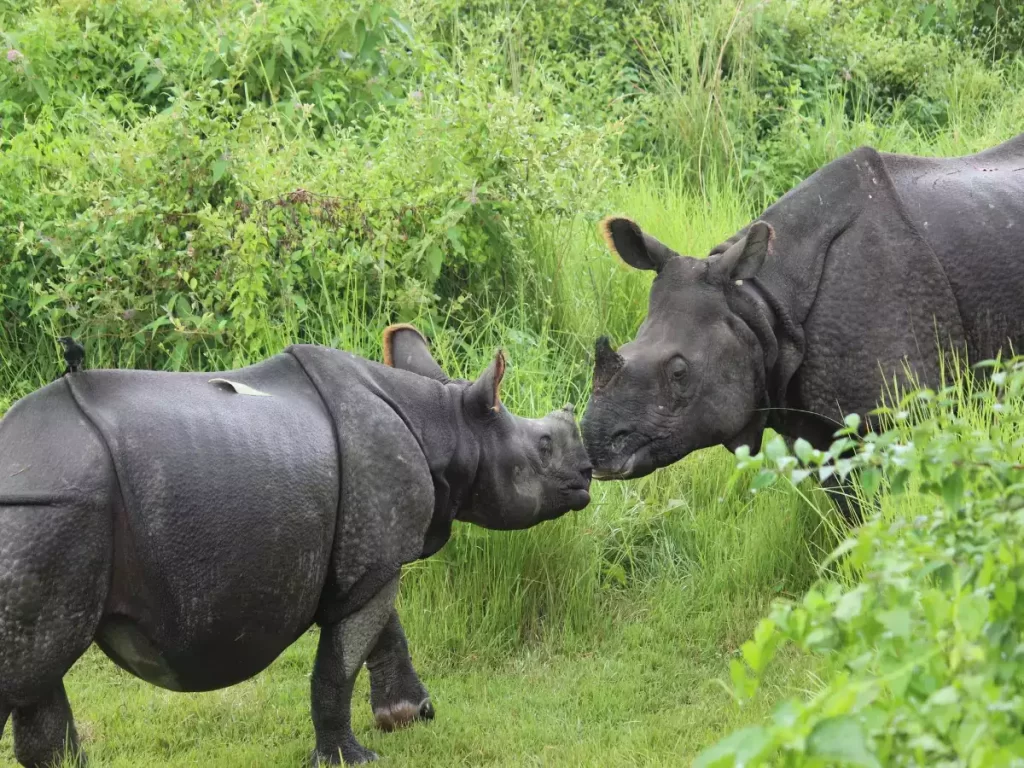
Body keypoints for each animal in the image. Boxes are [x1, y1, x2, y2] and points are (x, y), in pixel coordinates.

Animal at [0, 325, 593, 768]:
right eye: (544, 446)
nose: (588, 474)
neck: (446, 425)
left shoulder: (371, 558)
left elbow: (384, 631)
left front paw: (410, 715)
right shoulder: (374, 558)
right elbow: (340, 661)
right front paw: (354, 758)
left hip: (53, 512)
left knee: (38, 678)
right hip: (46, 509)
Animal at [581, 132, 1024, 505]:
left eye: (679, 371)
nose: (595, 445)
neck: (758, 301)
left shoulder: (907, 415)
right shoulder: (814, 430)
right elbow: (853, 509)